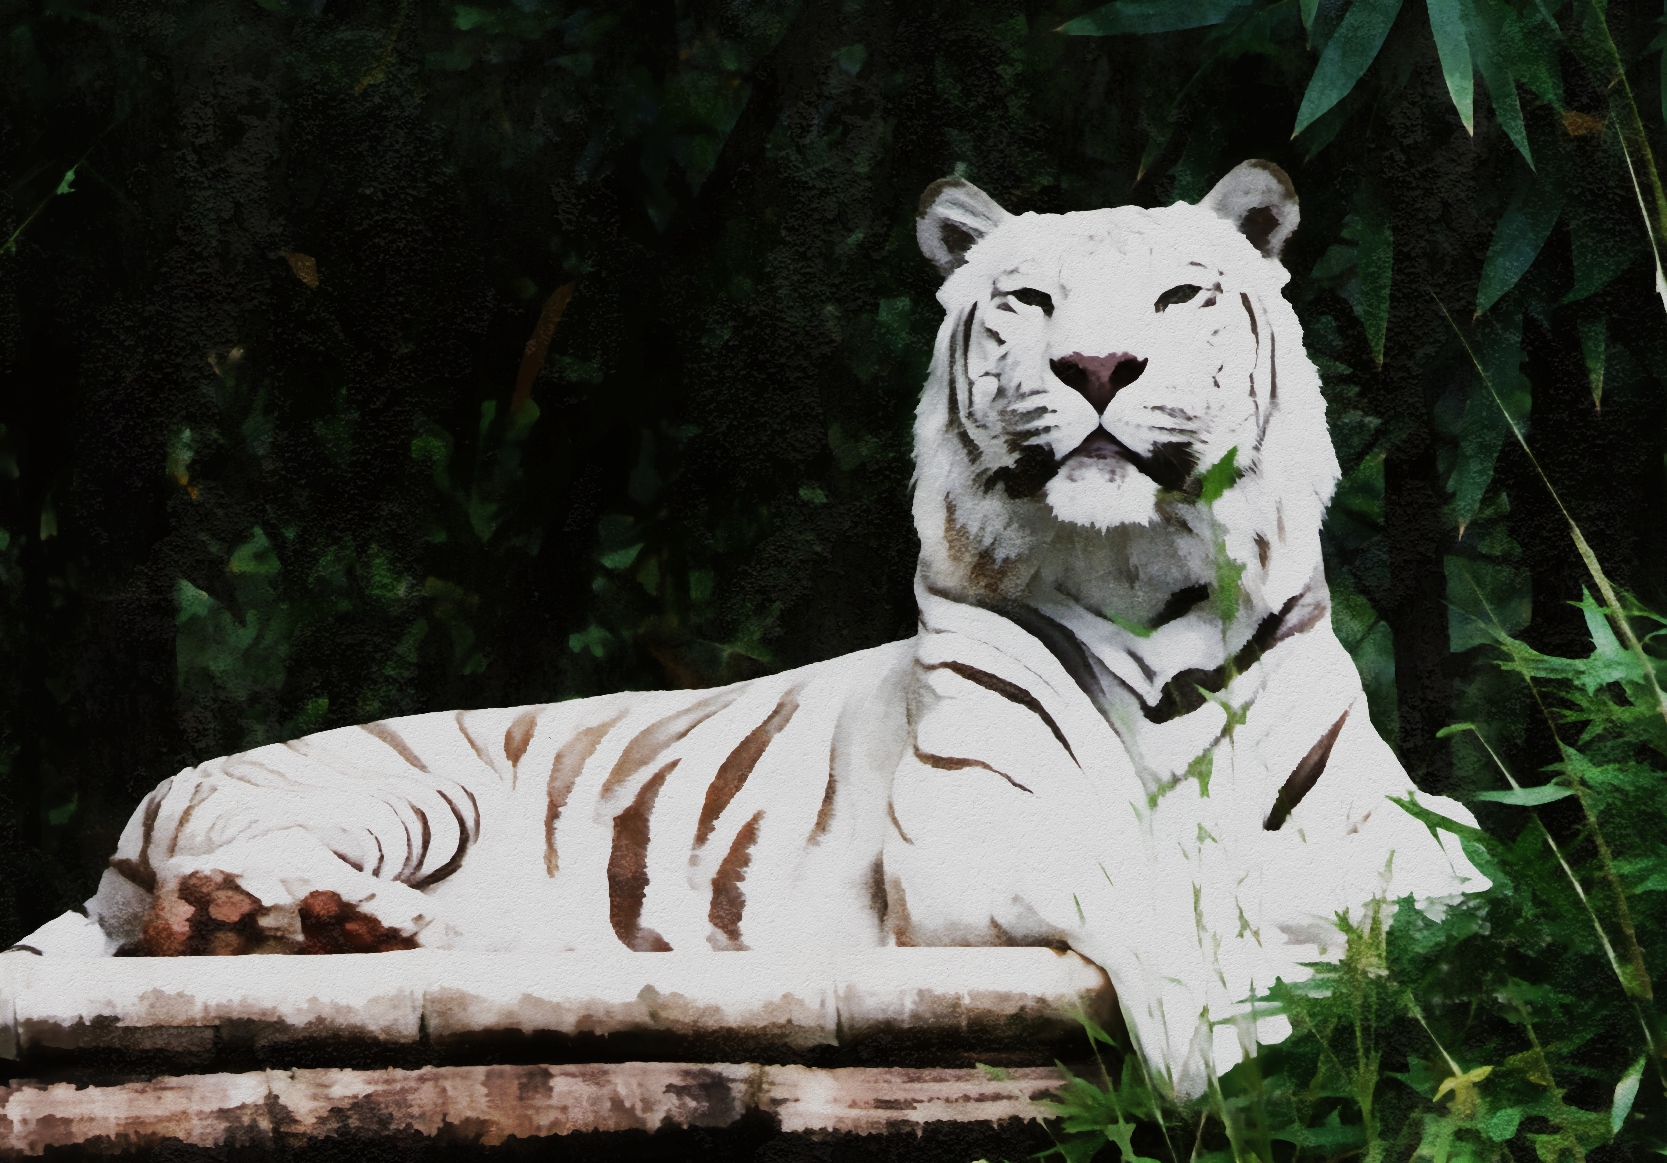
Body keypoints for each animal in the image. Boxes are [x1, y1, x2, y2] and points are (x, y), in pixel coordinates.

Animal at [75, 158, 1486, 1093]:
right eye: (1028, 302)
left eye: (1179, 297)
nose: (1094, 370)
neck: (1139, 578)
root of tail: (140, 811)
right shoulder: (973, 833)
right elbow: (1147, 882)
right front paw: (1237, 1045)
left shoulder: (1407, 826)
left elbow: (1417, 881)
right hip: (401, 791)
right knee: (207, 895)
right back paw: (346, 920)